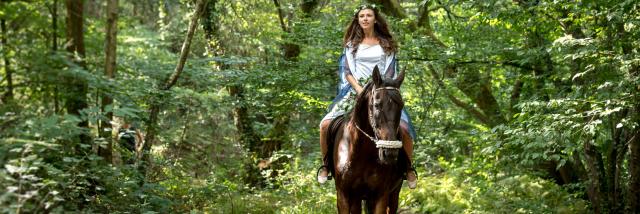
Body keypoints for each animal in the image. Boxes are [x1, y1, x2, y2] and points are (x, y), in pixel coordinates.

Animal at [328, 66, 408, 212]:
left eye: (401, 106)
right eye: (376, 105)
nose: (390, 153)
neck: (361, 154)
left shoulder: (381, 195)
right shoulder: (343, 196)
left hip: (393, 194)